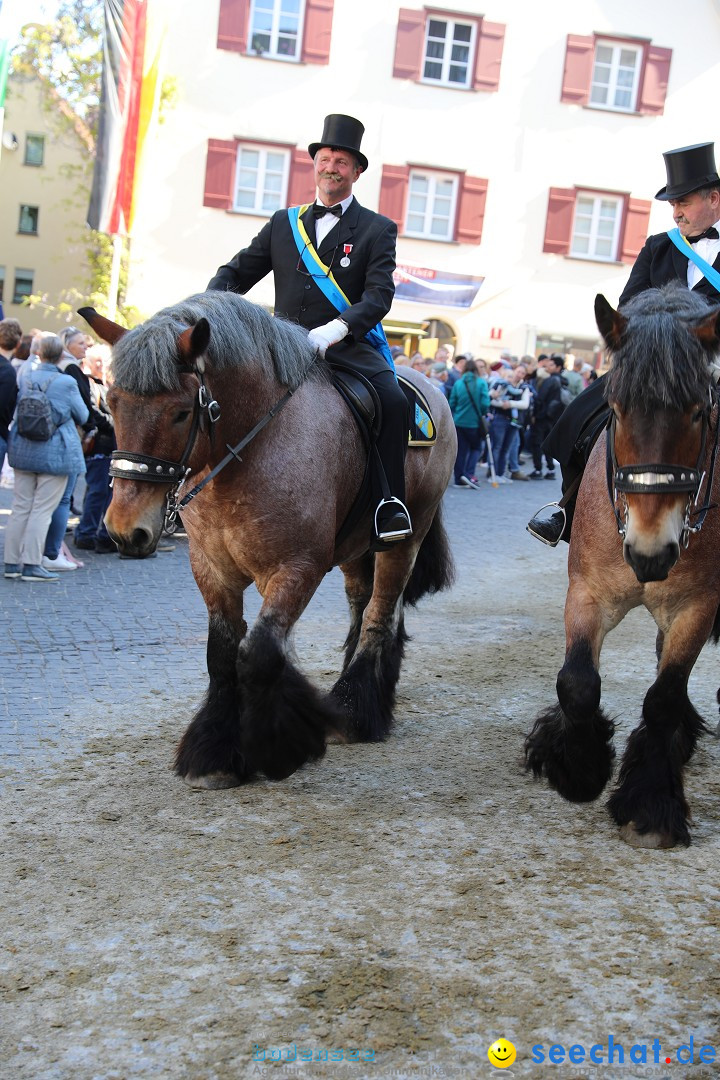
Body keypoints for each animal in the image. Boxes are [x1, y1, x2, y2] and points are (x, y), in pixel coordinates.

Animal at [80, 291, 455, 790]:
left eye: (180, 412)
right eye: (113, 401)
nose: (125, 528)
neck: (252, 447)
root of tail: (430, 386)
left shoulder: (297, 568)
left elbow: (257, 653)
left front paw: (276, 748)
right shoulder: (212, 568)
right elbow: (221, 656)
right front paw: (215, 752)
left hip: (403, 540)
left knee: (381, 616)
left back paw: (356, 710)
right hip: (357, 546)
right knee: (363, 605)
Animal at [524, 287, 720, 851]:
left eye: (698, 413)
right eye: (616, 408)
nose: (650, 552)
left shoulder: (697, 606)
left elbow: (663, 697)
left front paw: (650, 804)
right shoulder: (588, 594)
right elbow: (578, 683)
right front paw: (578, 768)